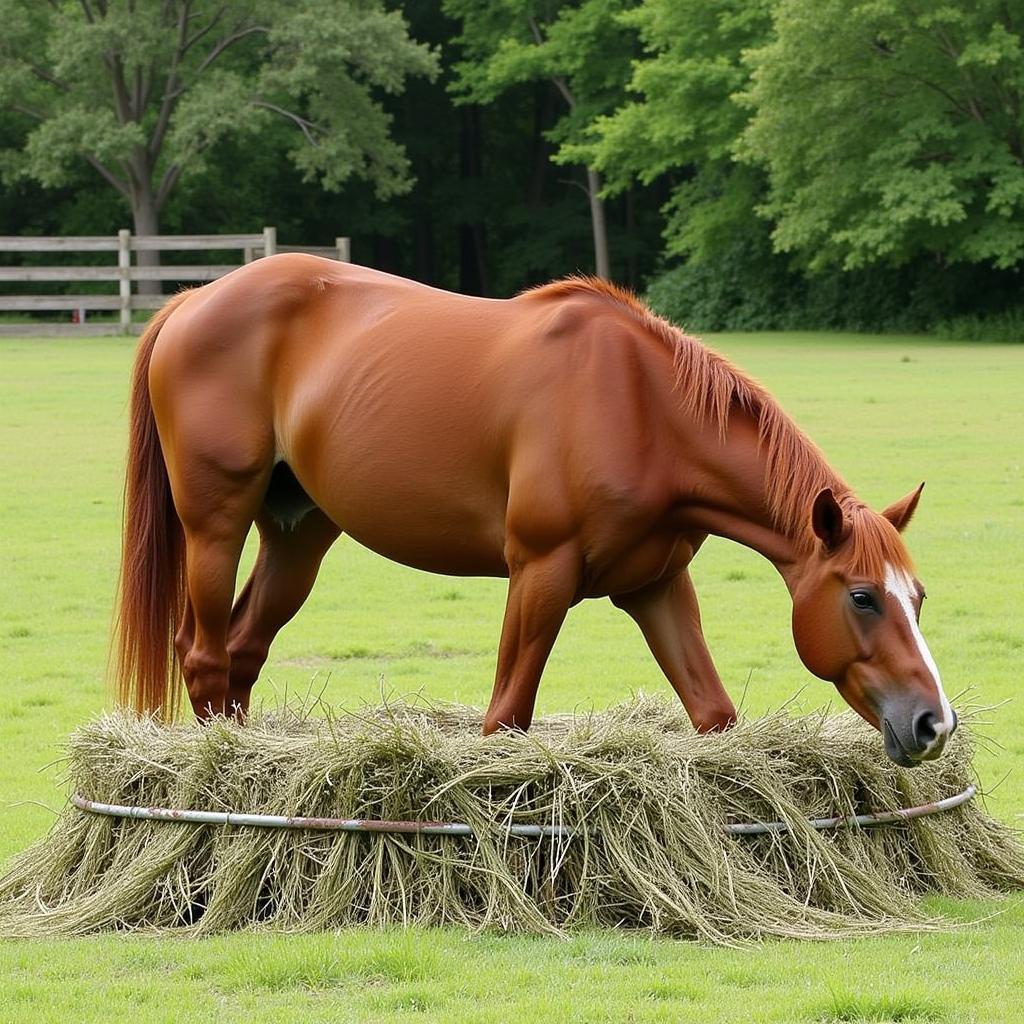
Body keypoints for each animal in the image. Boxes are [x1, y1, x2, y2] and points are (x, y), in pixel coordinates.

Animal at [116, 256, 954, 770]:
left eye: (917, 598)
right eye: (862, 597)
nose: (933, 723)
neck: (641, 406)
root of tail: (196, 300)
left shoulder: (655, 586)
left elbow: (713, 713)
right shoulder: (540, 574)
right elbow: (506, 718)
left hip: (298, 535)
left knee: (243, 653)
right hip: (215, 525)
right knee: (205, 656)